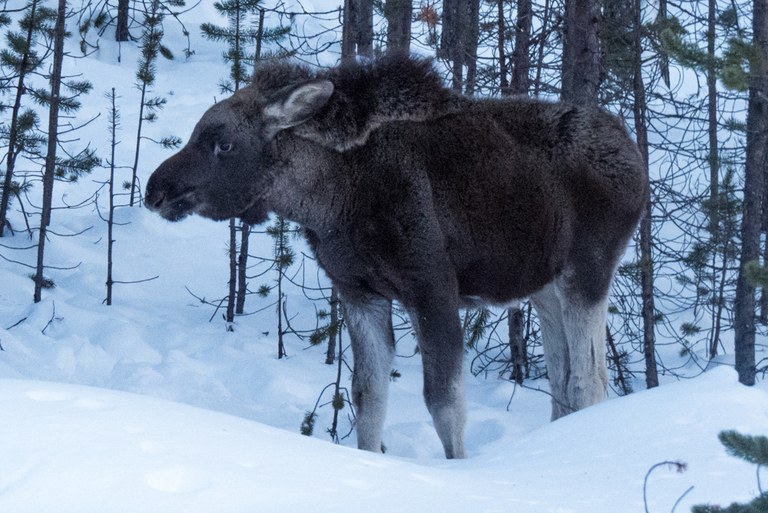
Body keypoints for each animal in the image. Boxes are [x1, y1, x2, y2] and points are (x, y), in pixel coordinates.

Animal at [146, 57, 648, 460]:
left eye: (224, 143)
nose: (155, 191)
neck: (330, 200)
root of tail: (633, 153)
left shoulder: (432, 289)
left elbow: (444, 403)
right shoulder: (359, 292)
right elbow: (367, 398)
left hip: (589, 270)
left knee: (589, 380)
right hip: (544, 289)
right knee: (561, 385)